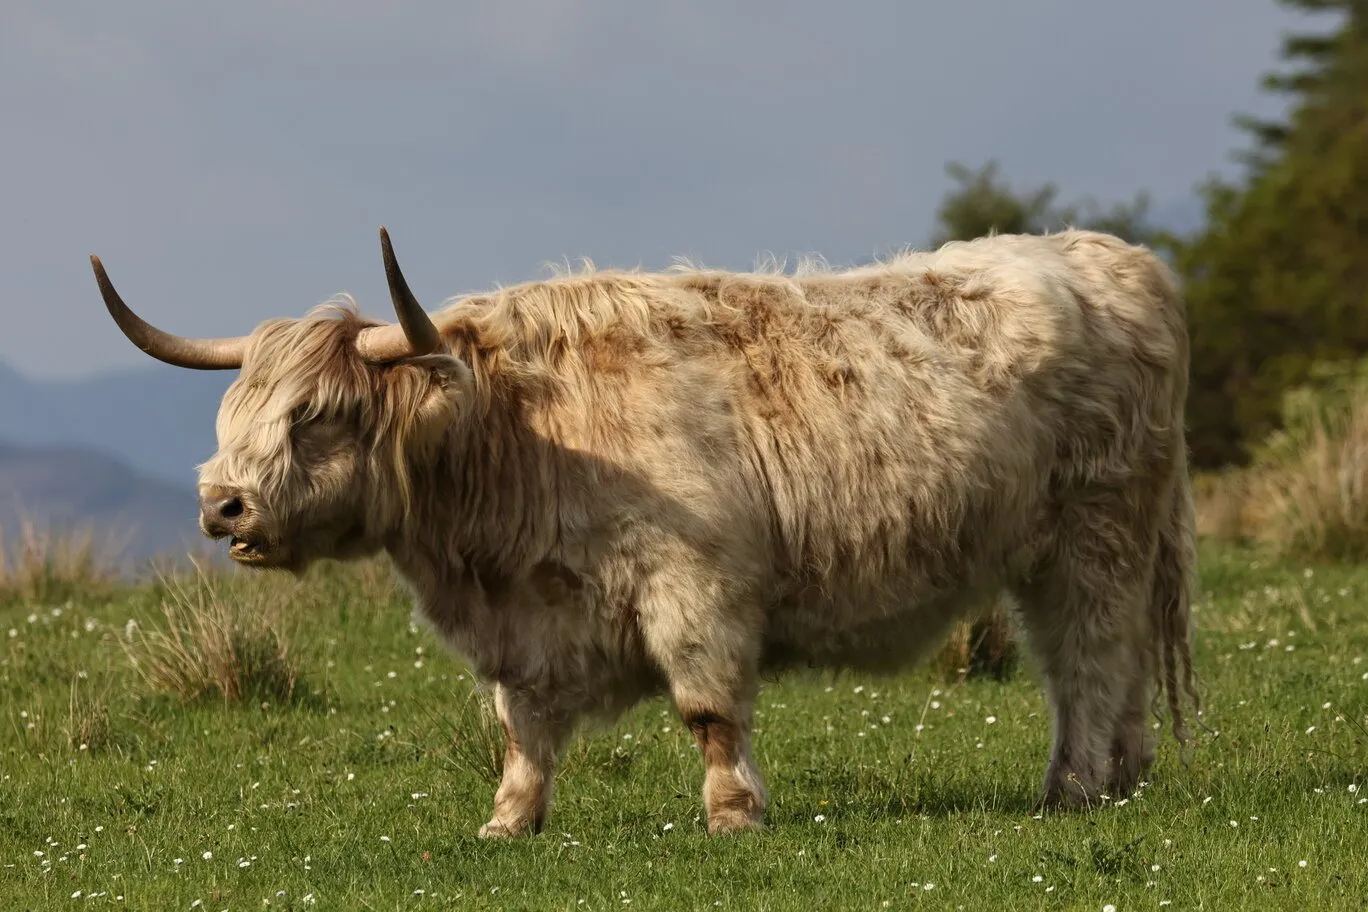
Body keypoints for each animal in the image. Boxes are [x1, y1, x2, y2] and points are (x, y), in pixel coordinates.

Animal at [90, 226, 1202, 837]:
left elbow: (709, 714)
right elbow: (522, 731)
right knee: (1096, 668)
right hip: (1056, 552)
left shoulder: (696, 587)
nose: (222, 505)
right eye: (230, 412)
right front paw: (509, 821)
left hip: (1097, 535)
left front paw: (733, 814)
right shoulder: (526, 631)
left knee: (1092, 660)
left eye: (316, 415)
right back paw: (1115, 778)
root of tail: (1106, 254)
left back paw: (1076, 788)